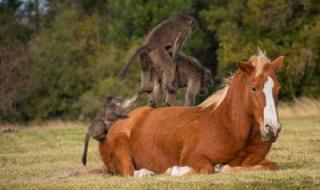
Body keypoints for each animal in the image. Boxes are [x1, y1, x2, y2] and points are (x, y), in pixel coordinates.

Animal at [99, 52, 284, 177]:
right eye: (253, 88)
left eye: (277, 89)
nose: (272, 128)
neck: (230, 127)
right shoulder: (195, 157)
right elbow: (207, 168)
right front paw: (175, 170)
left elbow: (272, 166)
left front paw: (224, 167)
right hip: (121, 142)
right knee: (129, 171)